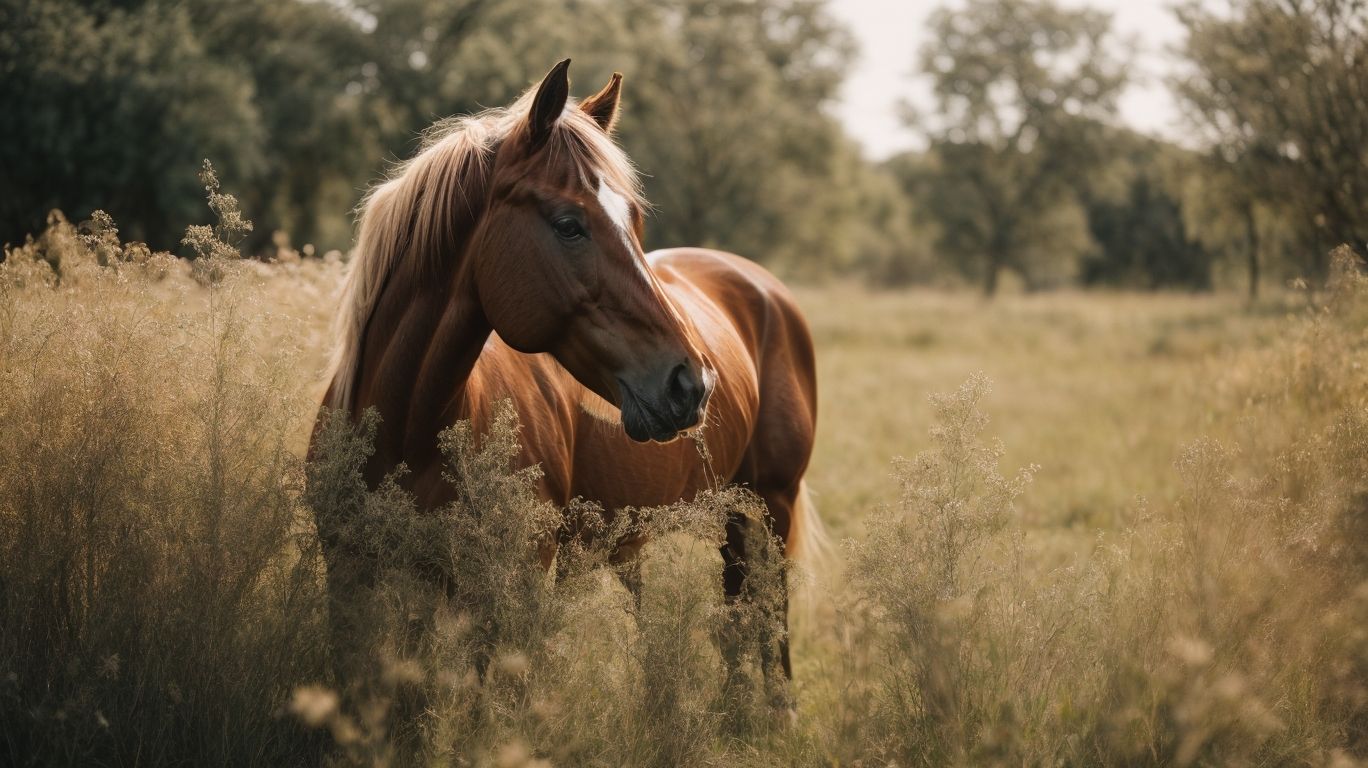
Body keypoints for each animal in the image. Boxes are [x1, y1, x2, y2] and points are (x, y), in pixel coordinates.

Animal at [312, 59, 822, 706]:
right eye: (568, 224)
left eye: (634, 220)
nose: (692, 383)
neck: (407, 435)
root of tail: (762, 287)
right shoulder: (349, 583)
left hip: (768, 508)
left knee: (767, 625)